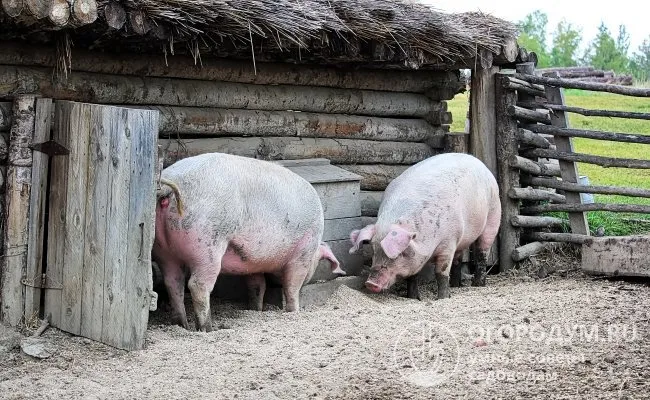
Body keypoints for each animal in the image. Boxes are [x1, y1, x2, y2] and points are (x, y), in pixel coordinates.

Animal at [153, 153, 344, 332]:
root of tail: (170, 184)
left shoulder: (252, 262)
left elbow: (257, 285)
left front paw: (255, 309)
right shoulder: (302, 254)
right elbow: (291, 287)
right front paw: (294, 311)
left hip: (163, 250)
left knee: (173, 283)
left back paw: (181, 325)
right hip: (207, 244)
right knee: (197, 285)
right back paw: (208, 328)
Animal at [346, 153, 498, 300]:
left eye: (400, 253)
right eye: (374, 250)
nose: (370, 283)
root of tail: (476, 160)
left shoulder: (448, 242)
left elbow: (441, 273)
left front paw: (443, 298)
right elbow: (413, 276)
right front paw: (413, 298)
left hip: (493, 213)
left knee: (482, 253)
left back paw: (478, 285)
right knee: (458, 259)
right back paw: (456, 286)